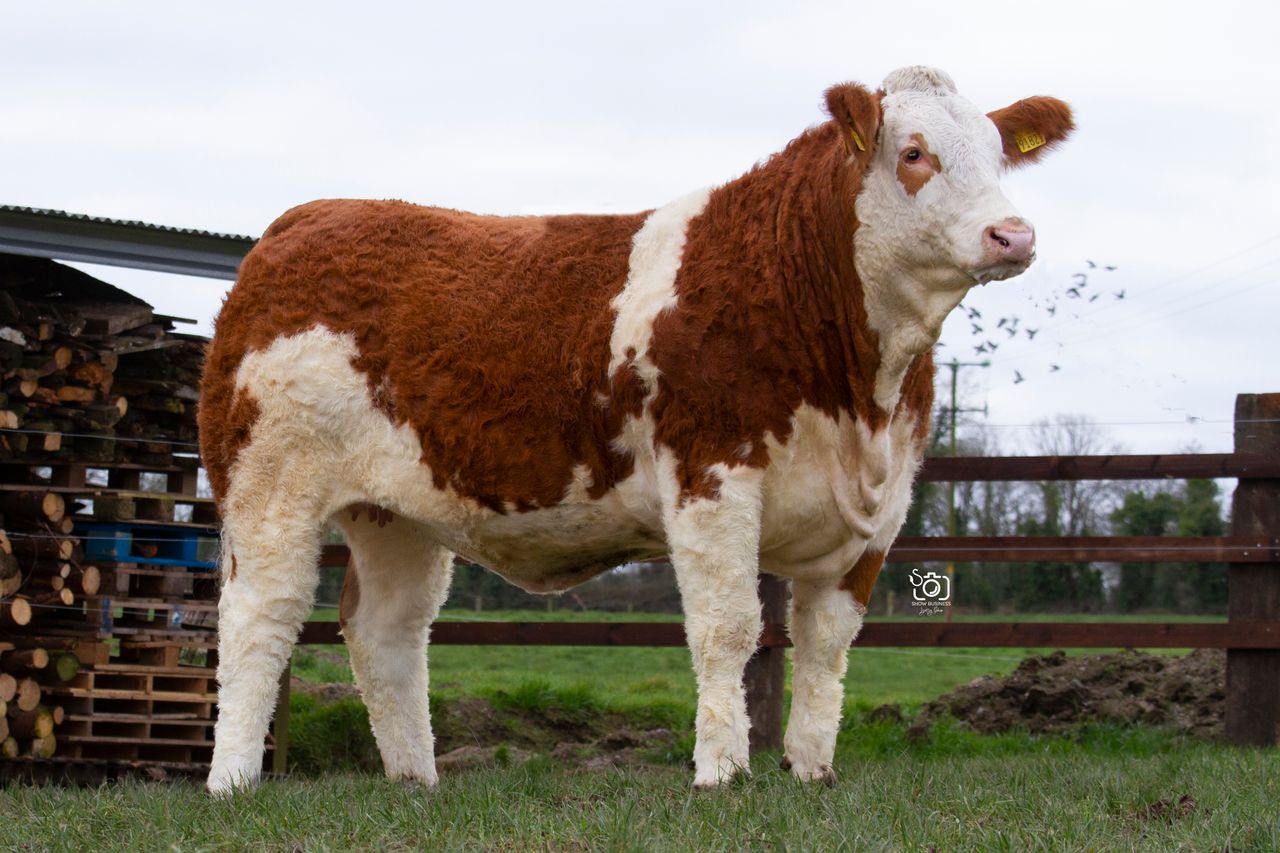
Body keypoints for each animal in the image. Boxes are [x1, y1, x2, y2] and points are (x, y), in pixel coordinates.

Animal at [199, 66, 1073, 794]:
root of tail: (301, 222)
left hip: (397, 512)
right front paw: (722, 773)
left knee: (387, 631)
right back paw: (233, 781)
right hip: (267, 484)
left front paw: (812, 771)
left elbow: (827, 644)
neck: (862, 392)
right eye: (916, 152)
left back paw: (416, 779)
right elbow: (729, 629)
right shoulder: (711, 477)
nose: (1014, 234)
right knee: (259, 618)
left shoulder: (879, 516)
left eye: (999, 155)